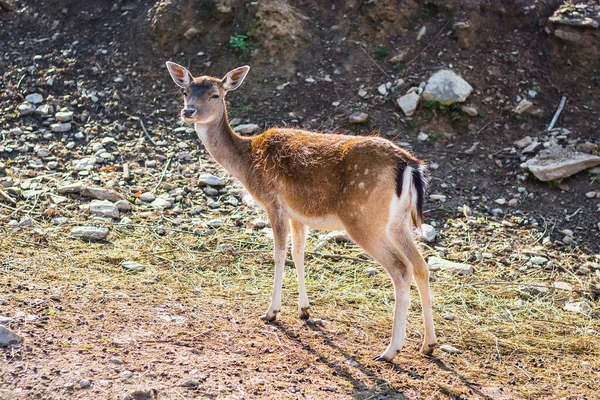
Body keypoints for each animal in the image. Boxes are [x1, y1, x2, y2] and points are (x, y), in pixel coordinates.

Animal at [166, 61, 438, 362]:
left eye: (215, 94)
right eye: (185, 92)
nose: (188, 112)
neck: (247, 161)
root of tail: (409, 165)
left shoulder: (274, 202)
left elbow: (279, 254)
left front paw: (271, 312)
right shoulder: (298, 213)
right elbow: (298, 254)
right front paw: (304, 310)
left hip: (364, 219)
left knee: (401, 270)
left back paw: (390, 350)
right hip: (398, 222)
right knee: (421, 266)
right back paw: (428, 344)